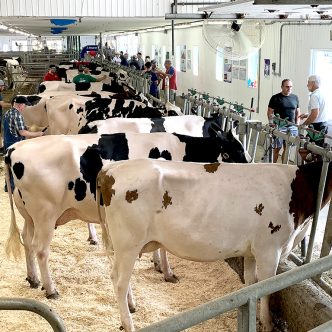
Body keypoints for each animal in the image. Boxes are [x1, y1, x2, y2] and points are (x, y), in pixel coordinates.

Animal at [4, 130, 249, 300]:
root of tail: (14, 149)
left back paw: (33, 279)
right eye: (228, 153)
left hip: (29, 215)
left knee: (27, 241)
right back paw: (51, 289)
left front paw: (158, 264)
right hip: (45, 215)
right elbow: (164, 247)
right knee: (41, 250)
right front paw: (167, 271)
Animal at [96, 158, 332, 332]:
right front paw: (268, 323)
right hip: (128, 243)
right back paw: (129, 324)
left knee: (117, 276)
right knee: (119, 281)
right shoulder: (269, 249)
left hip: (123, 245)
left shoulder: (253, 251)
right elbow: (267, 287)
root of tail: (112, 168)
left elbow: (251, 283)